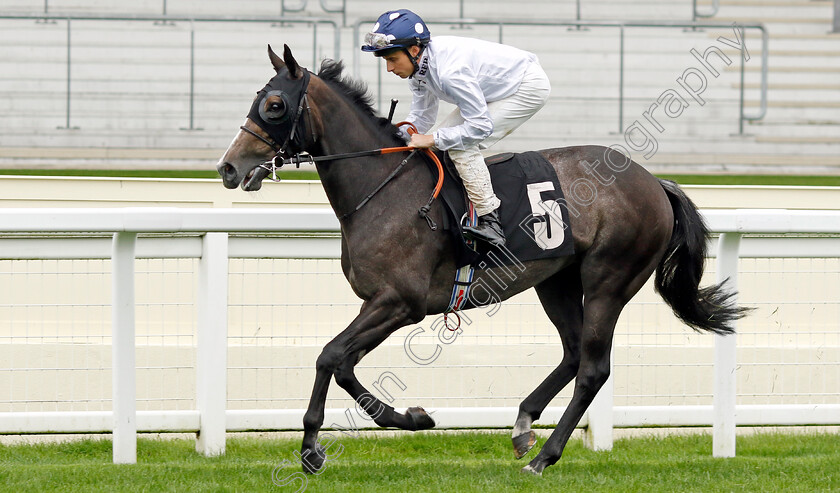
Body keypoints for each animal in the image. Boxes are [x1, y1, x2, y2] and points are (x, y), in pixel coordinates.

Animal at [217, 46, 748, 476]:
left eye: (274, 105)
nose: (228, 168)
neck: (383, 188)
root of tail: (655, 181)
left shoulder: (399, 303)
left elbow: (330, 356)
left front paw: (318, 447)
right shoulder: (383, 304)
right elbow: (342, 364)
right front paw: (400, 420)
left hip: (609, 280)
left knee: (594, 368)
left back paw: (543, 457)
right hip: (556, 280)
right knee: (574, 353)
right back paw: (523, 425)